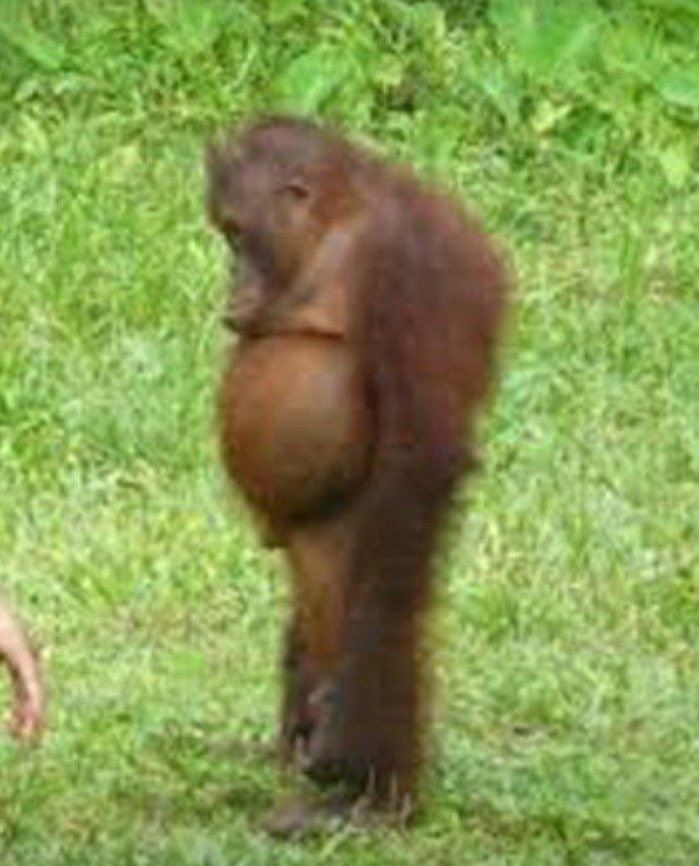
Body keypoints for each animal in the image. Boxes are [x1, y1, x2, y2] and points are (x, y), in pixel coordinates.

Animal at [205, 116, 509, 834]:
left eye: (236, 233)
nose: (229, 282)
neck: (335, 229)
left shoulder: (408, 269)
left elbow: (423, 453)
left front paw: (344, 736)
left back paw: (372, 798)